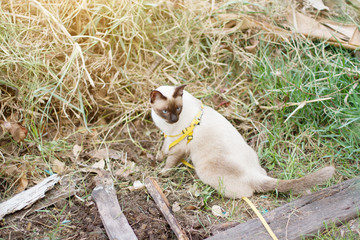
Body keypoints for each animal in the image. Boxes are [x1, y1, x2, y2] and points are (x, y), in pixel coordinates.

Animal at [150, 85, 334, 198]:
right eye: (165, 111)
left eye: (178, 109)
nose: (173, 119)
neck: (167, 126)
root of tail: (253, 174)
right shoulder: (168, 137)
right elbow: (164, 149)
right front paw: (157, 158)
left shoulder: (179, 147)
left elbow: (170, 161)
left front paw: (162, 172)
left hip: (204, 171)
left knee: (247, 193)